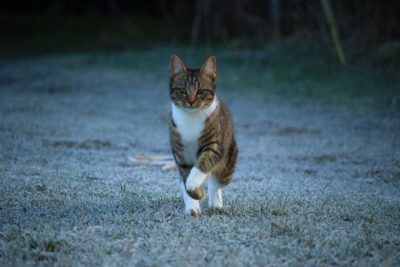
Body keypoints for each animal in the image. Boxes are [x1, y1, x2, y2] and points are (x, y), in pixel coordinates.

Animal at [169, 55, 238, 217]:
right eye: (182, 90)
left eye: (200, 91)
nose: (191, 101)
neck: (191, 118)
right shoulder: (180, 154)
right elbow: (185, 178)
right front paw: (194, 201)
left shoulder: (213, 146)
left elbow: (202, 165)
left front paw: (195, 187)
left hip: (228, 161)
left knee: (216, 182)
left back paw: (216, 203)